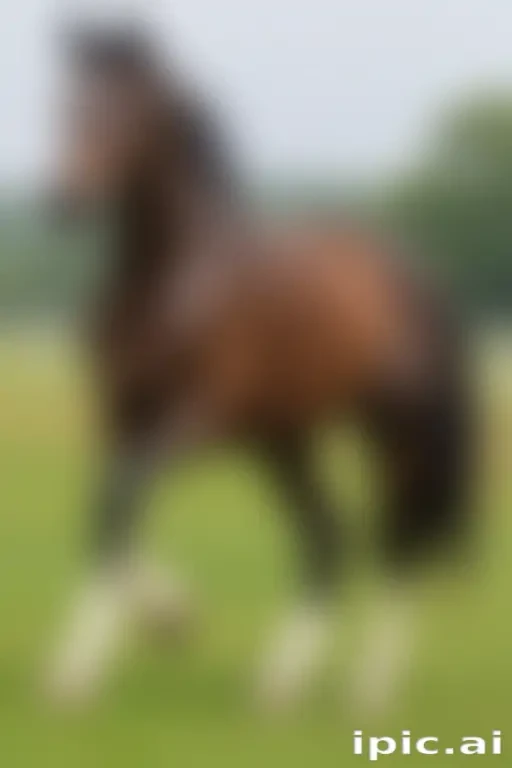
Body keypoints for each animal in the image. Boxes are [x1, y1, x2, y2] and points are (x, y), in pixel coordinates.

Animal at [45, 26, 470, 711]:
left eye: (127, 110)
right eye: (66, 103)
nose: (62, 197)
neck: (174, 281)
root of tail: (412, 270)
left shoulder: (198, 417)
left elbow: (125, 495)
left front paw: (94, 662)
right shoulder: (120, 413)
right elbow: (109, 507)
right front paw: (167, 622)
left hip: (394, 432)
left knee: (398, 539)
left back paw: (369, 689)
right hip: (283, 440)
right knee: (327, 538)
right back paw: (279, 685)